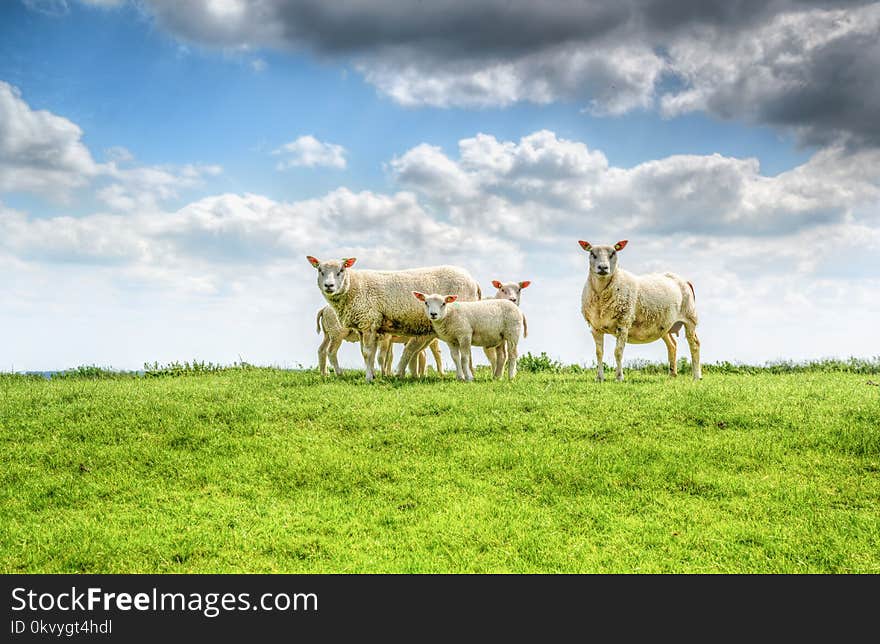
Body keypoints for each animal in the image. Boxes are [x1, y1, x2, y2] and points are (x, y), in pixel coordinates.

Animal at [304, 254, 482, 380]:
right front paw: (374, 375)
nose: (329, 286)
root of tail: (474, 282)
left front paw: (369, 378)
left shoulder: (369, 321)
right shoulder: (365, 326)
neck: (354, 286)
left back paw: (467, 375)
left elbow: (368, 353)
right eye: (320, 270)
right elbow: (367, 353)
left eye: (340, 271)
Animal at [576, 242, 700, 382]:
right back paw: (672, 375)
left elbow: (618, 352)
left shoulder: (624, 323)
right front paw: (599, 378)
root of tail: (684, 281)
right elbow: (599, 353)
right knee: (672, 345)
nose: (603, 267)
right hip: (664, 325)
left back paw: (696, 376)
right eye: (592, 253)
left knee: (694, 345)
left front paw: (619, 377)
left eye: (613, 253)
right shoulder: (595, 327)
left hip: (690, 317)